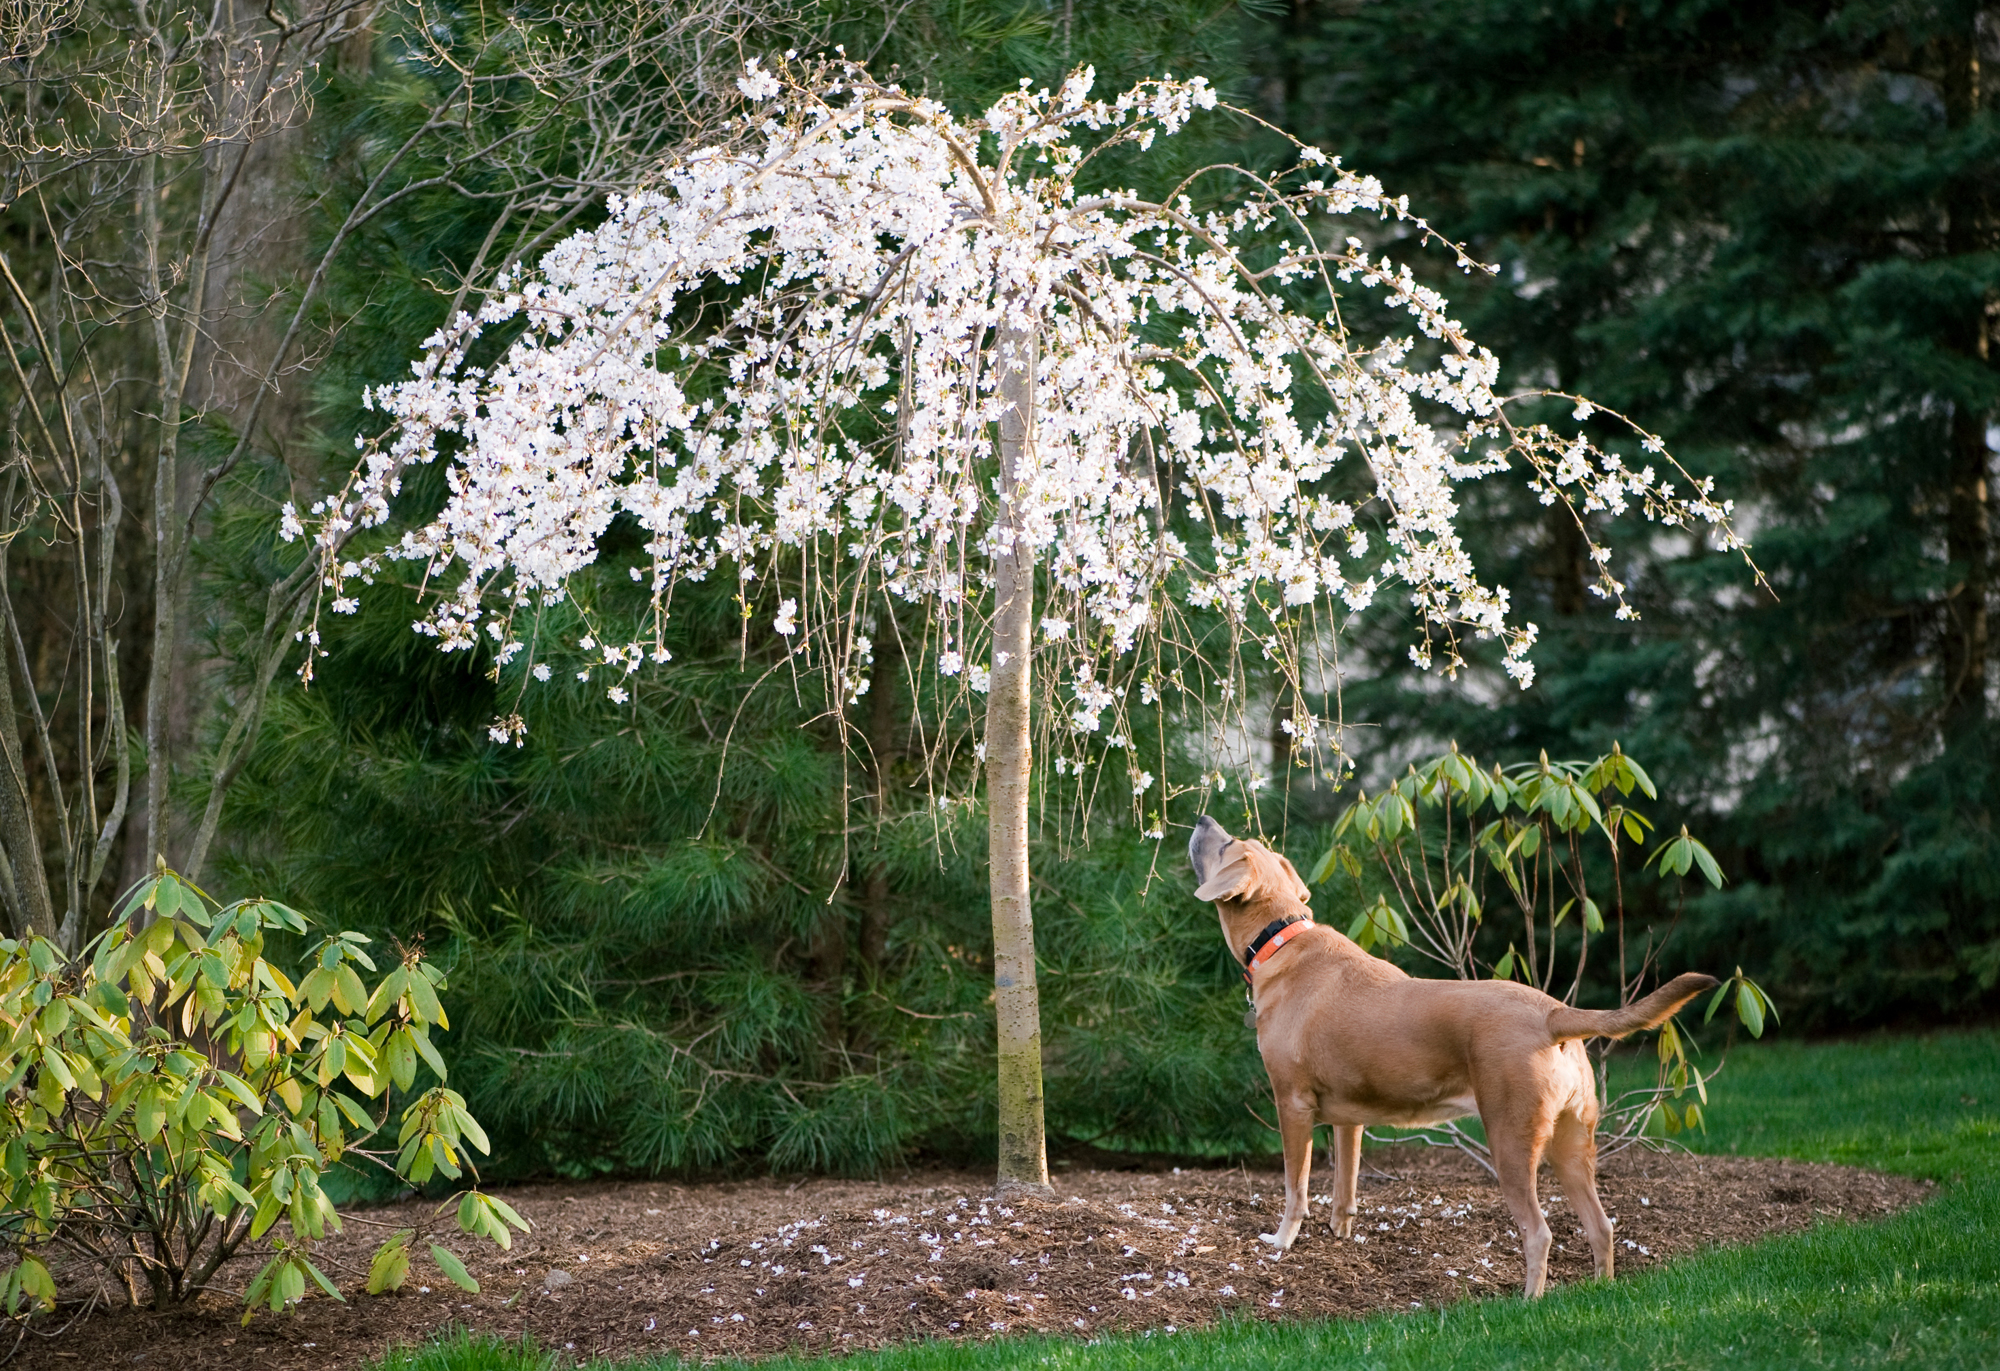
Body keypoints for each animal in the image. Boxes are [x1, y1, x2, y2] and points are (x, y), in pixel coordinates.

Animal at [1184, 815, 1720, 1303]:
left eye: (1227, 844)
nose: (1202, 817)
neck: (1282, 939)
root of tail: (1553, 1013)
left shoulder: (1292, 1104)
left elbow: (1296, 1189)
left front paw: (1281, 1241)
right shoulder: (1349, 1118)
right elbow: (1345, 1186)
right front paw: (1340, 1236)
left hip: (1511, 1141)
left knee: (1539, 1232)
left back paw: (1529, 1301)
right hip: (1572, 1144)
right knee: (1601, 1225)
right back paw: (1601, 1290)